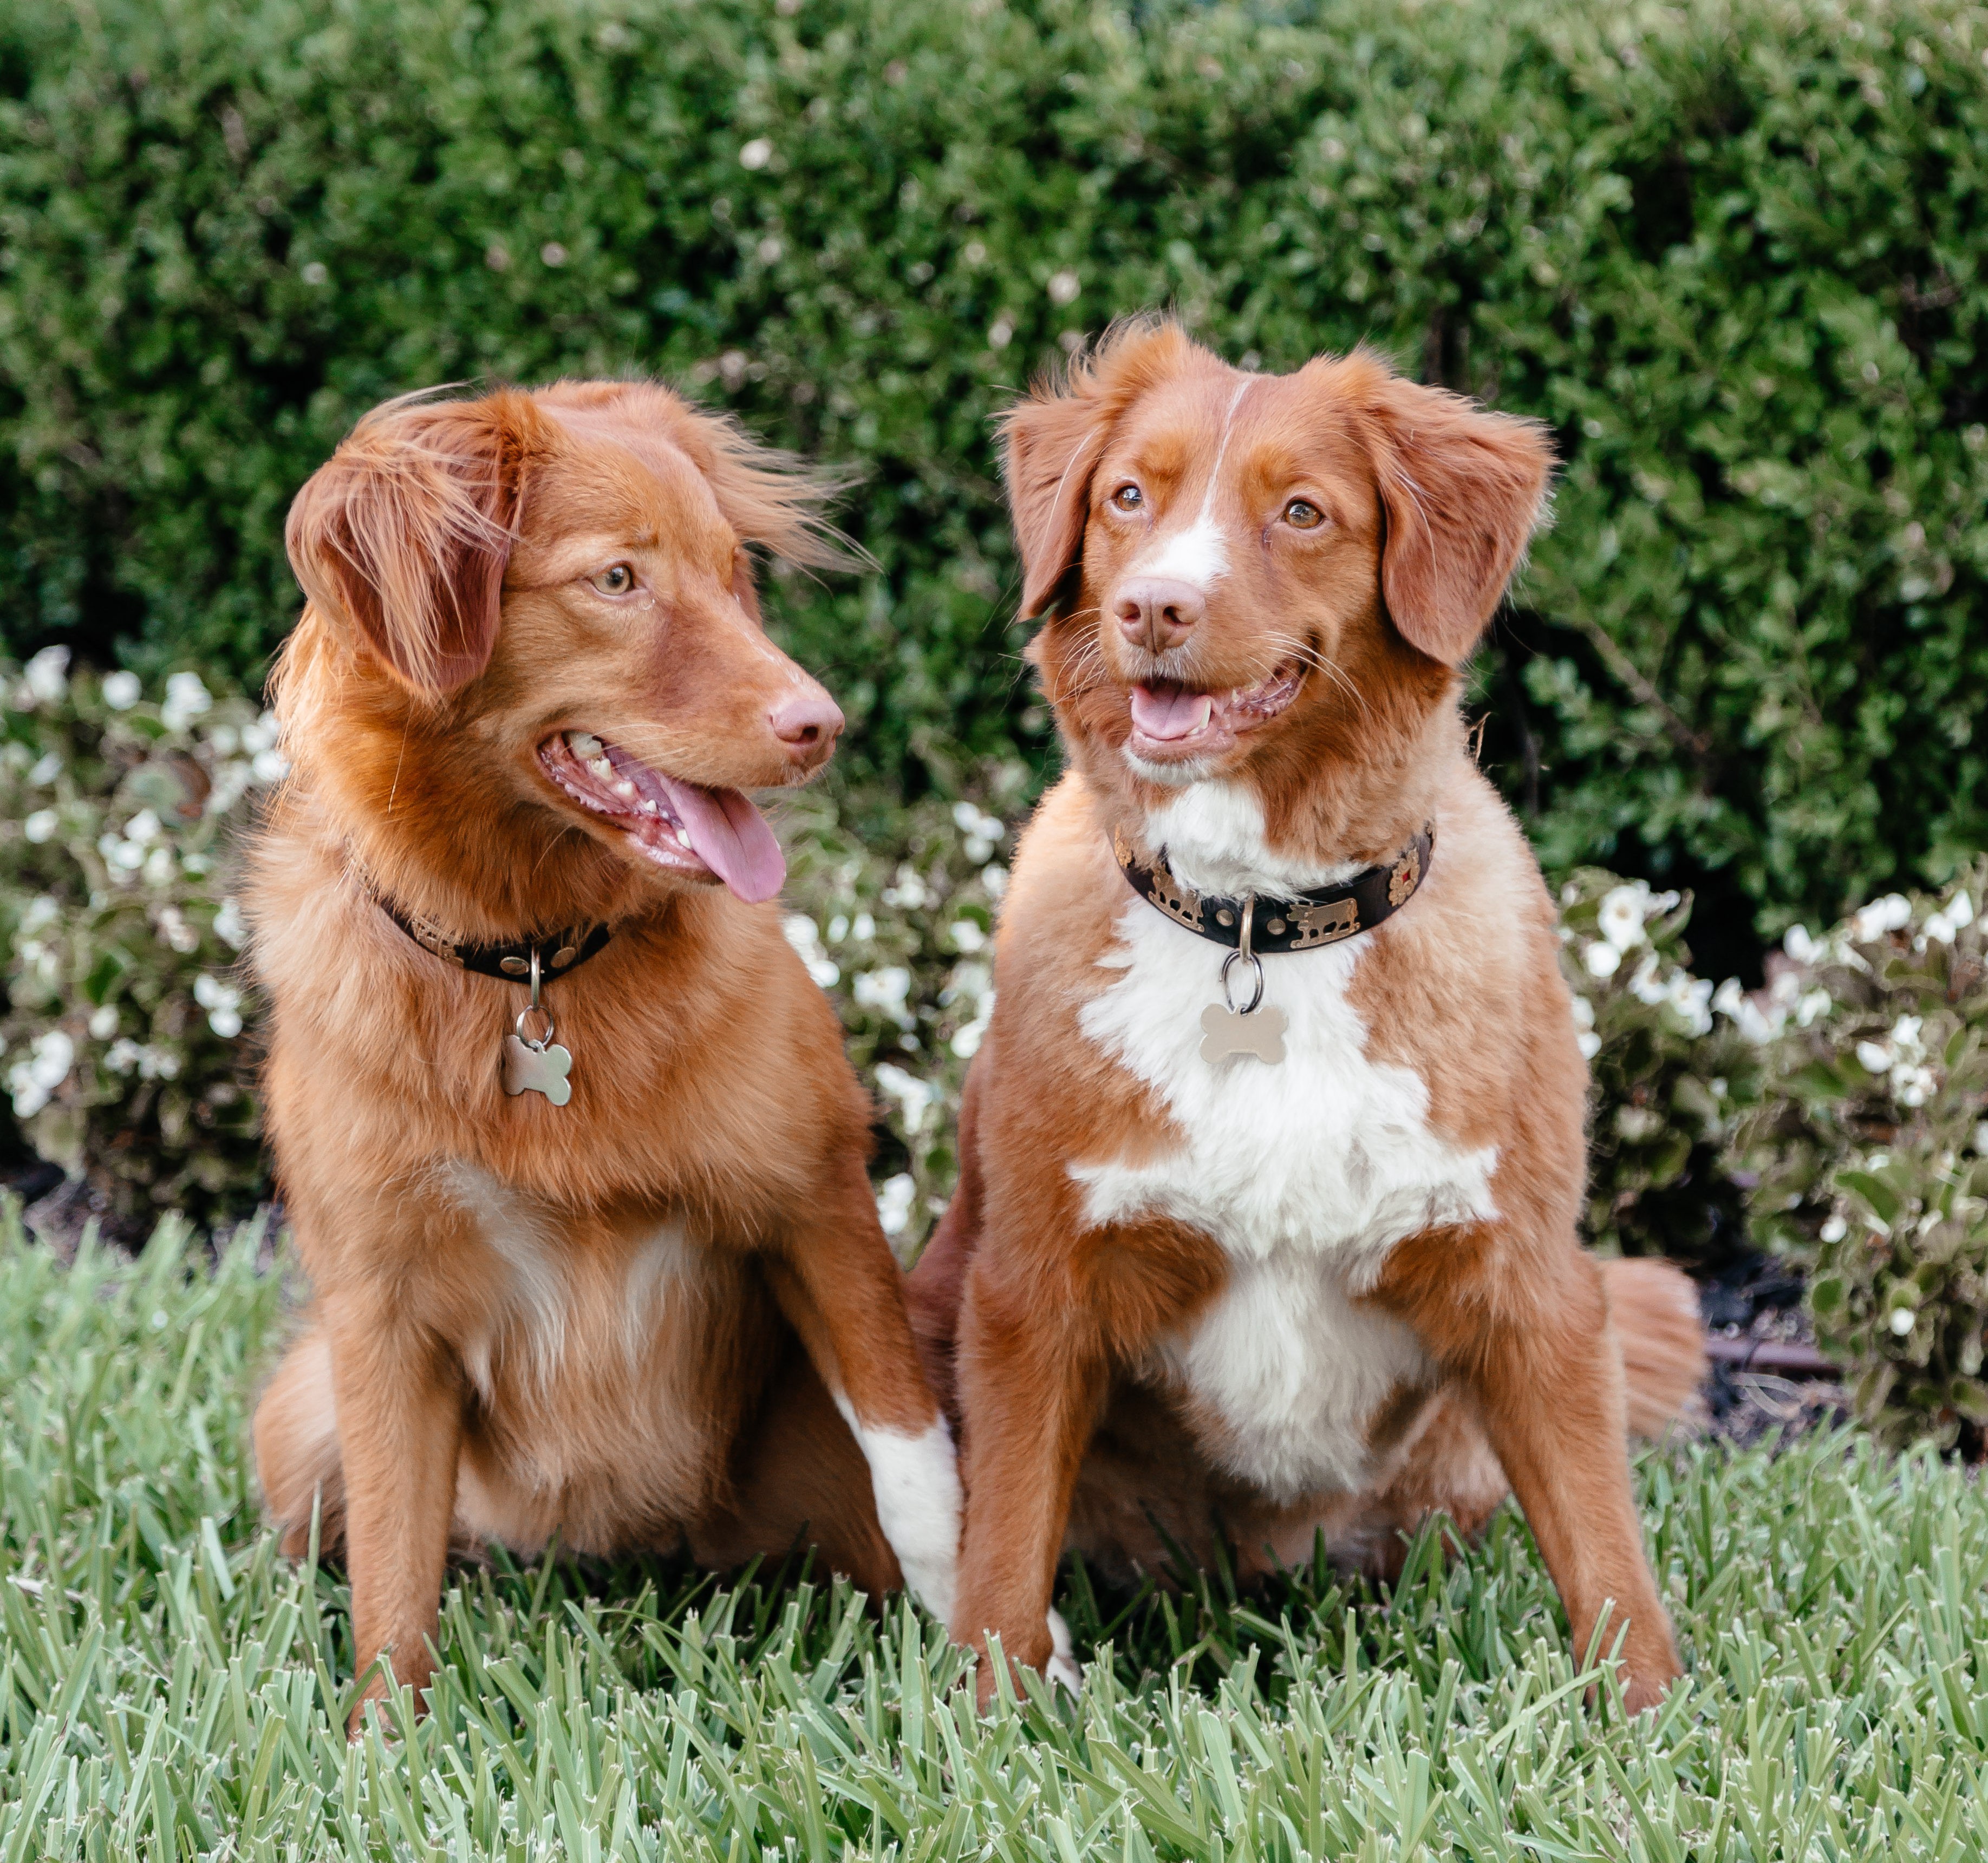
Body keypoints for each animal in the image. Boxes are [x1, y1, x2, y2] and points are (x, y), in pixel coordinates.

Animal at [248, 382, 962, 1734]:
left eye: (732, 574)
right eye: (616, 579)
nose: (820, 726)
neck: (535, 964)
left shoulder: (817, 1206)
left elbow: (926, 1481)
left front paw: (1019, 1671)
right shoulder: (378, 1308)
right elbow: (391, 1561)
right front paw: (384, 1746)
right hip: (299, 1407)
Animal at [914, 316, 1710, 1702]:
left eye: (1300, 511)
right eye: (1128, 497)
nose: (1152, 605)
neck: (1257, 926)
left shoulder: (1530, 1283)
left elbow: (1604, 1549)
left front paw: (1652, 1716)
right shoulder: (1032, 1287)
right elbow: (1003, 1547)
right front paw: (993, 1707)